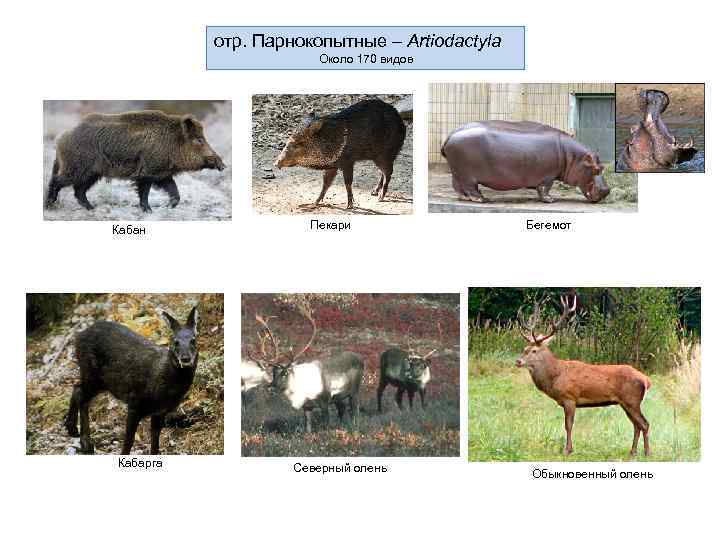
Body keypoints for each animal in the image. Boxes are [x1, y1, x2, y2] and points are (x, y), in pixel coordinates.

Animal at [516, 295, 651, 456]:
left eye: (534, 350)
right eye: (524, 348)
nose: (518, 361)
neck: (556, 375)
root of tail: (646, 380)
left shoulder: (570, 397)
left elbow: (568, 425)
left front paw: (567, 450)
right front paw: (569, 448)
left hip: (632, 400)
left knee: (644, 423)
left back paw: (647, 452)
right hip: (626, 403)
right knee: (637, 425)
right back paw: (633, 451)